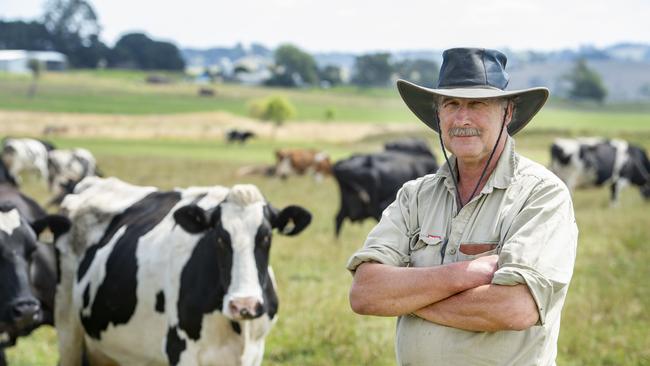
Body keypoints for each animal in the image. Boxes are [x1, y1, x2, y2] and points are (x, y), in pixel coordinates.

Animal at [53, 177, 312, 366]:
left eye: (266, 237)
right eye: (219, 238)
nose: (244, 305)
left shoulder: (255, 353)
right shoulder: (181, 350)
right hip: (68, 330)